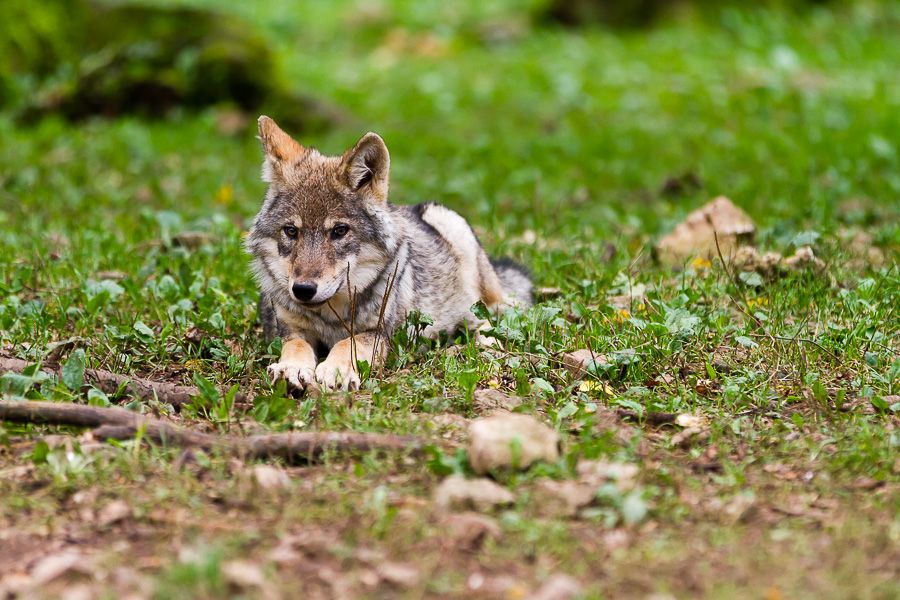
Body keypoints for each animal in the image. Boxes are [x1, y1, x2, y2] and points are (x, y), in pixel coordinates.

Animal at [243, 116, 532, 394]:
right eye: (291, 231)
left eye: (339, 231)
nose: (303, 290)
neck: (331, 317)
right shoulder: (290, 329)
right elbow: (296, 346)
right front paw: (290, 368)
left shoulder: (381, 333)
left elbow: (349, 342)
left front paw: (336, 370)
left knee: (487, 317)